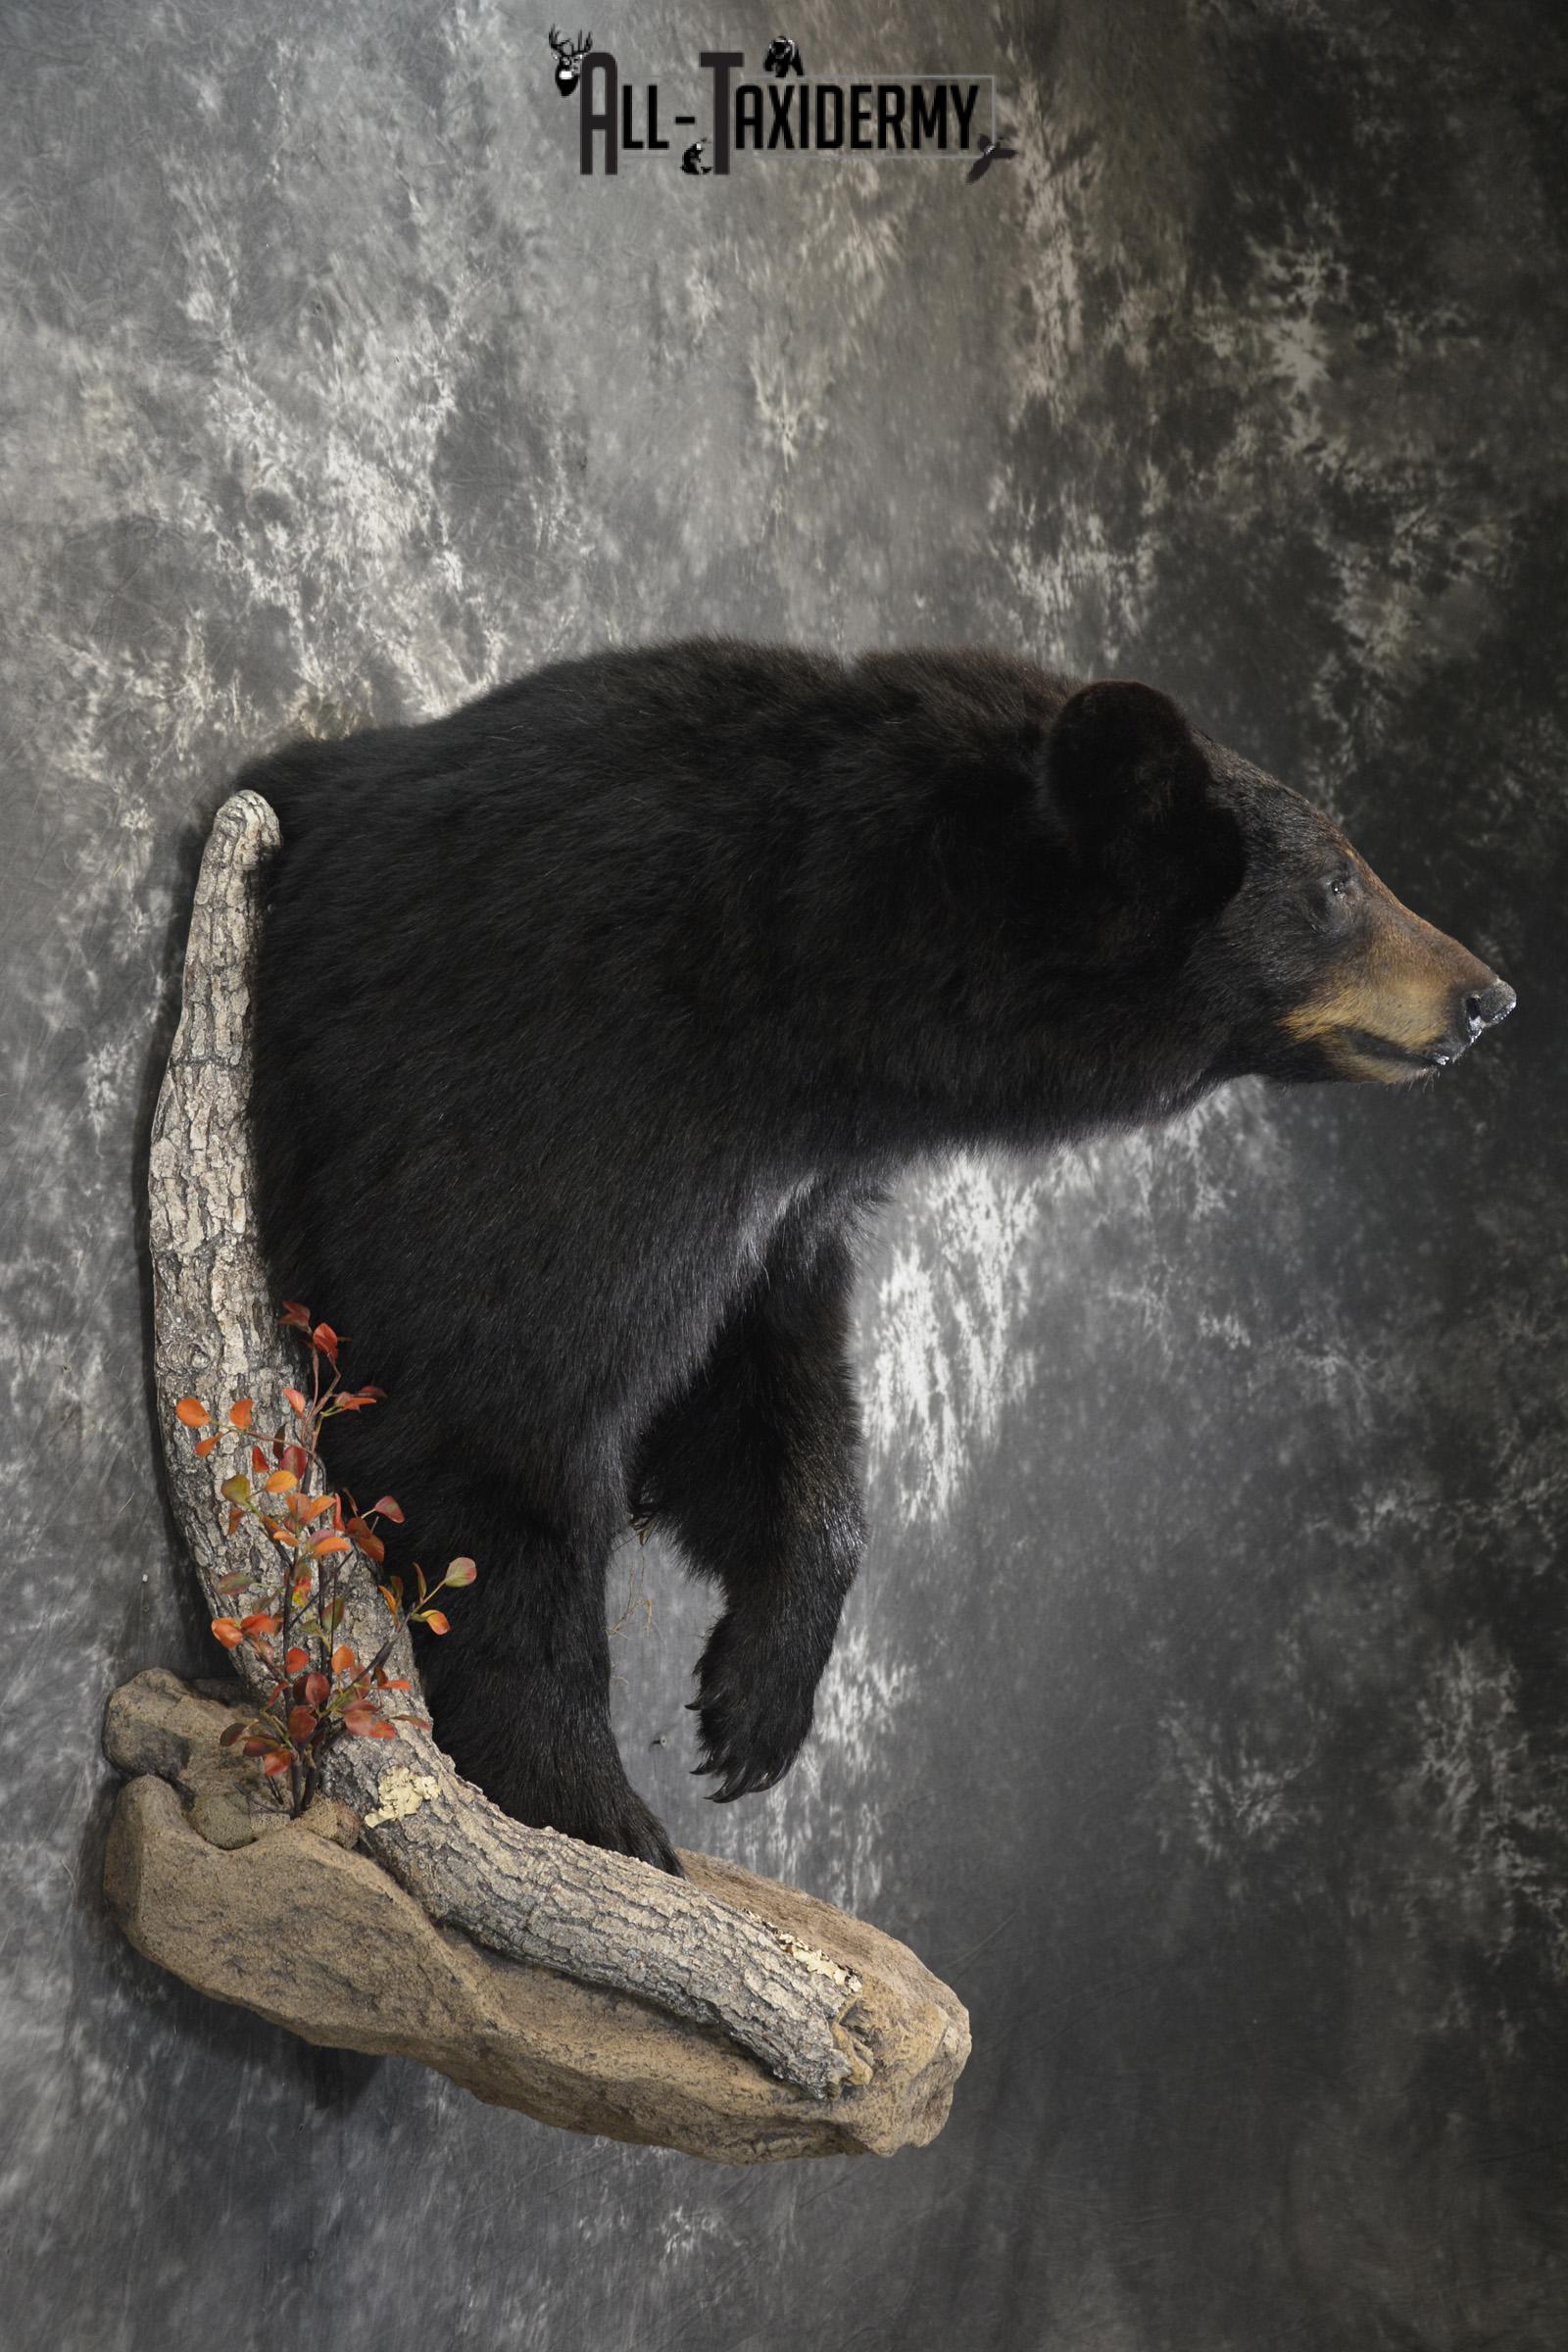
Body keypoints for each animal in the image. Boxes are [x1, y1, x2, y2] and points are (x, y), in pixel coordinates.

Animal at [242, 638, 1516, 1873]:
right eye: (1338, 882)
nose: (1488, 995)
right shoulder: (577, 1067)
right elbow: (490, 1385)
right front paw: (589, 1800)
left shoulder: (780, 1206)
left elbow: (767, 1395)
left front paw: (755, 1702)